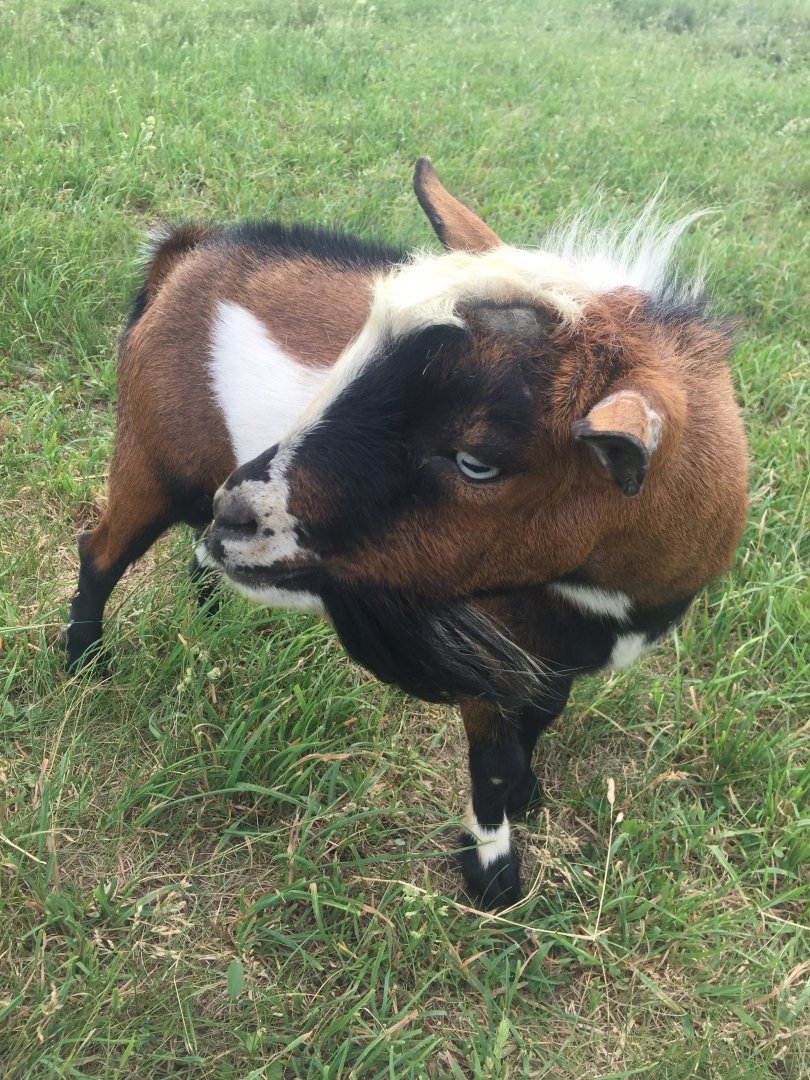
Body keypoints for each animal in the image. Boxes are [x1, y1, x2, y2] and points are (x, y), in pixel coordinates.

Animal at [65, 160, 748, 907]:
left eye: (476, 460)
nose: (243, 514)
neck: (599, 598)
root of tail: (190, 254)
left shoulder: (549, 657)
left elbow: (540, 722)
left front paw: (530, 799)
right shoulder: (485, 654)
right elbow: (493, 764)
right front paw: (492, 875)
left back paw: (209, 617)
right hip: (151, 457)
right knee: (101, 552)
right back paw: (85, 663)